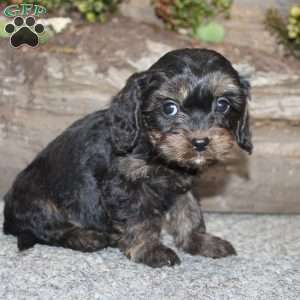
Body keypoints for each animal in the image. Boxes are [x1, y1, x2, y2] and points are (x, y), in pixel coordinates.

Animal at [3, 49, 252, 268]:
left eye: (222, 104)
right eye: (169, 108)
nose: (200, 142)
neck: (154, 150)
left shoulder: (183, 185)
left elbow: (190, 212)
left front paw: (199, 241)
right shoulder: (125, 185)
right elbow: (140, 218)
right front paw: (150, 250)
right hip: (39, 198)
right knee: (48, 228)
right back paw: (86, 237)